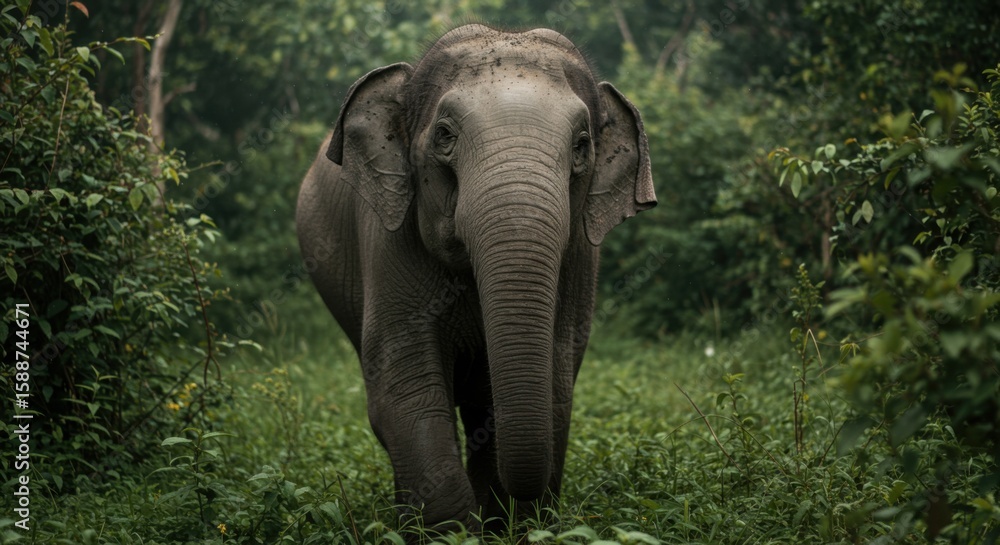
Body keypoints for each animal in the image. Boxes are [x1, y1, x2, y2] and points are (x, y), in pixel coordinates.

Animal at [296, 24, 656, 531]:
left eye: (582, 145)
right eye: (444, 135)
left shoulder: (581, 258)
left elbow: (555, 379)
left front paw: (509, 525)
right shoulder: (388, 235)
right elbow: (404, 388)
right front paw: (455, 531)